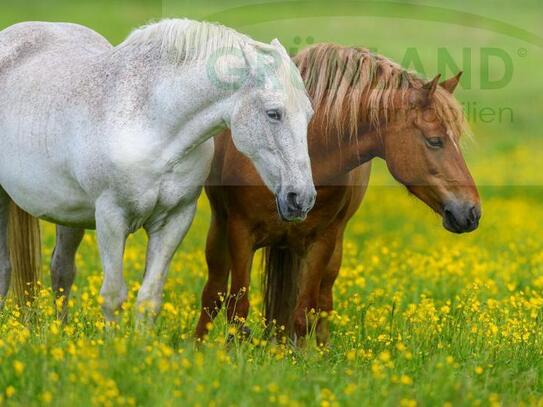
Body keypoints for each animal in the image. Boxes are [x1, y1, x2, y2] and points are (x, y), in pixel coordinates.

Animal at [0, 19, 314, 322]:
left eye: (309, 114)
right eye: (273, 113)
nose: (302, 198)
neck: (152, 123)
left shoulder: (174, 220)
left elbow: (149, 300)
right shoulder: (111, 217)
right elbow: (113, 297)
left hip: (69, 215)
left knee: (61, 270)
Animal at [194, 43, 480, 344]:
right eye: (435, 141)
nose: (472, 211)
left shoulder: (322, 241)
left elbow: (304, 314)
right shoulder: (240, 233)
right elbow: (236, 308)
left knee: (323, 301)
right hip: (220, 229)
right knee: (213, 294)